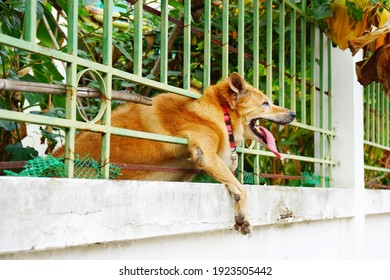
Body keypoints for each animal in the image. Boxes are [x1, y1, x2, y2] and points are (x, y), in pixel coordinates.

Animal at [64, 72, 296, 234]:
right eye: (265, 103)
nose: (294, 113)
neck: (221, 115)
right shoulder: (206, 155)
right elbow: (242, 187)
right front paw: (242, 215)